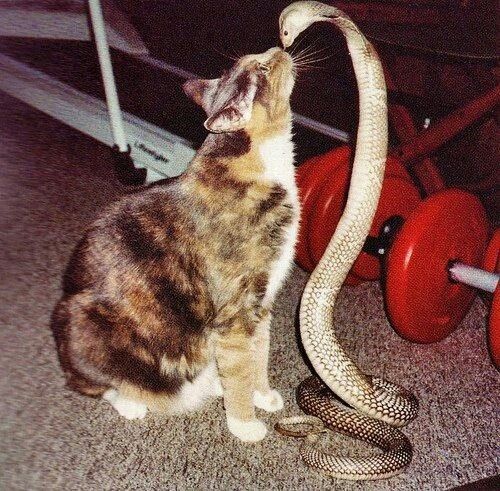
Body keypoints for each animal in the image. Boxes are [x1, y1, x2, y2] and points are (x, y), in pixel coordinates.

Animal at [50, 48, 298, 444]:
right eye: (261, 67)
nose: (280, 49)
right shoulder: (235, 314)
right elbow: (240, 367)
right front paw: (244, 423)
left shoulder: (261, 305)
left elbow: (258, 355)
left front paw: (261, 394)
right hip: (80, 322)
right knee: (95, 384)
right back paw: (133, 403)